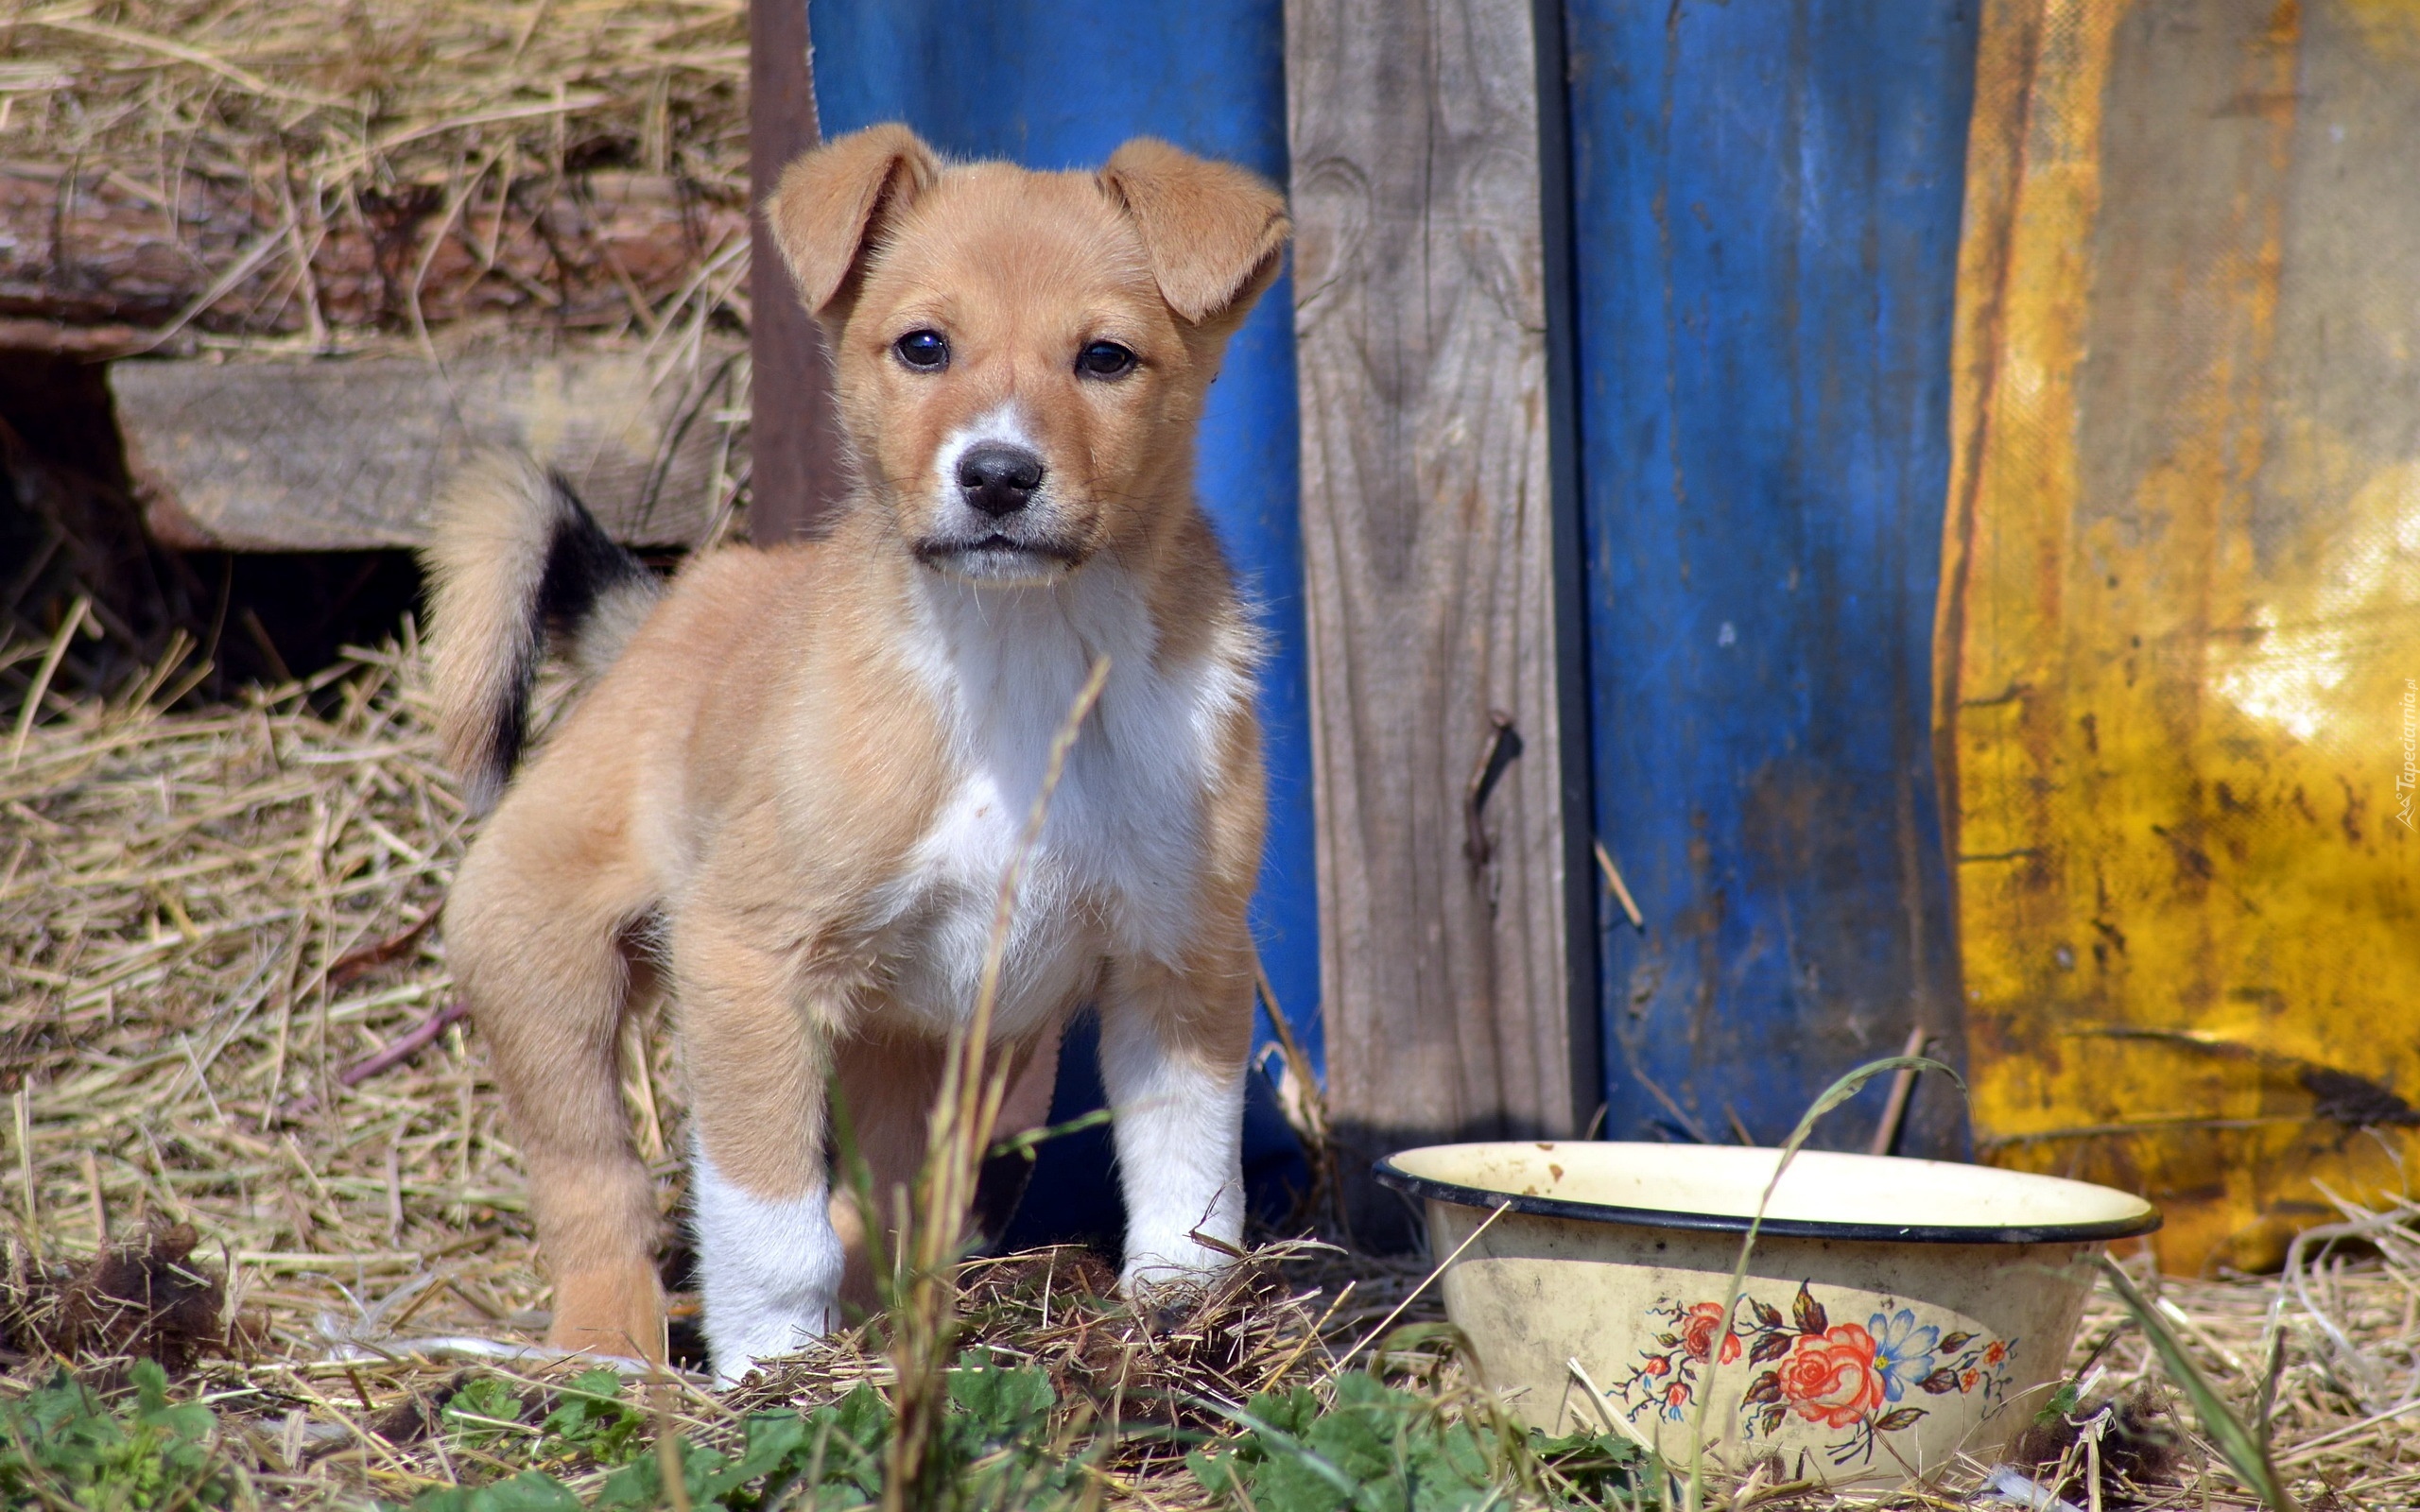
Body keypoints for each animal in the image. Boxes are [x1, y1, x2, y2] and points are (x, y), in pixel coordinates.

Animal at [421, 127, 1287, 1383]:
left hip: (937, 1061)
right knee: (597, 1190)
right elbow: (767, 1224)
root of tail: (673, 608)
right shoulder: (746, 959)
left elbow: (1188, 1180)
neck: (1016, 655)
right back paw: (608, 1353)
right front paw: (775, 1373)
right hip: (539, 963)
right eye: (923, 346)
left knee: (881, 1204)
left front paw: (1176, 1316)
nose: (997, 475)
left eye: (1106, 358)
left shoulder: (1181, 964)